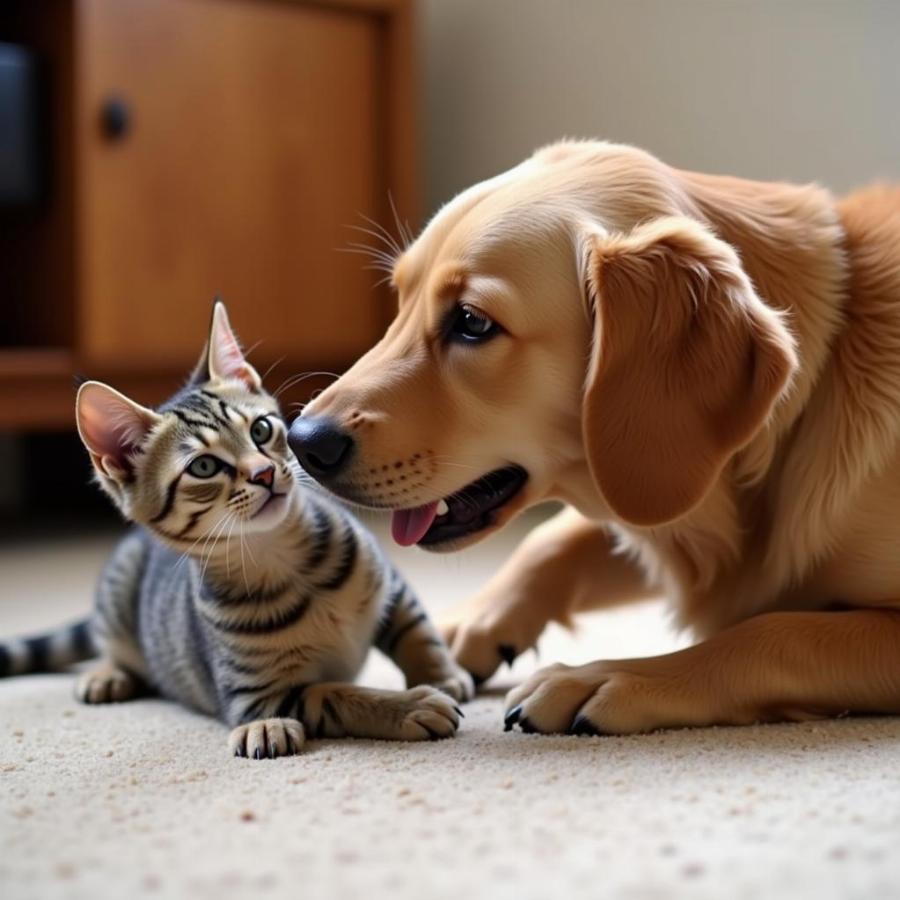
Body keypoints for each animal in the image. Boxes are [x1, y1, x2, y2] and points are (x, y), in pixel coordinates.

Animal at [0, 304, 474, 760]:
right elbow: (338, 693)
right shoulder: (256, 695)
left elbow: (419, 632)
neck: (286, 559)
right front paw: (408, 705)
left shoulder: (390, 582)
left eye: (261, 429)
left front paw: (442, 675)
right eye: (204, 466)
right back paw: (107, 674)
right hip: (117, 591)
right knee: (110, 643)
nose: (264, 473)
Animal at [286, 139, 900, 732]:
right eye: (400, 299)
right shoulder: (649, 483)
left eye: (473, 322)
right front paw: (462, 625)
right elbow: (554, 538)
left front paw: (608, 678)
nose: (303, 442)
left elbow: (773, 634)